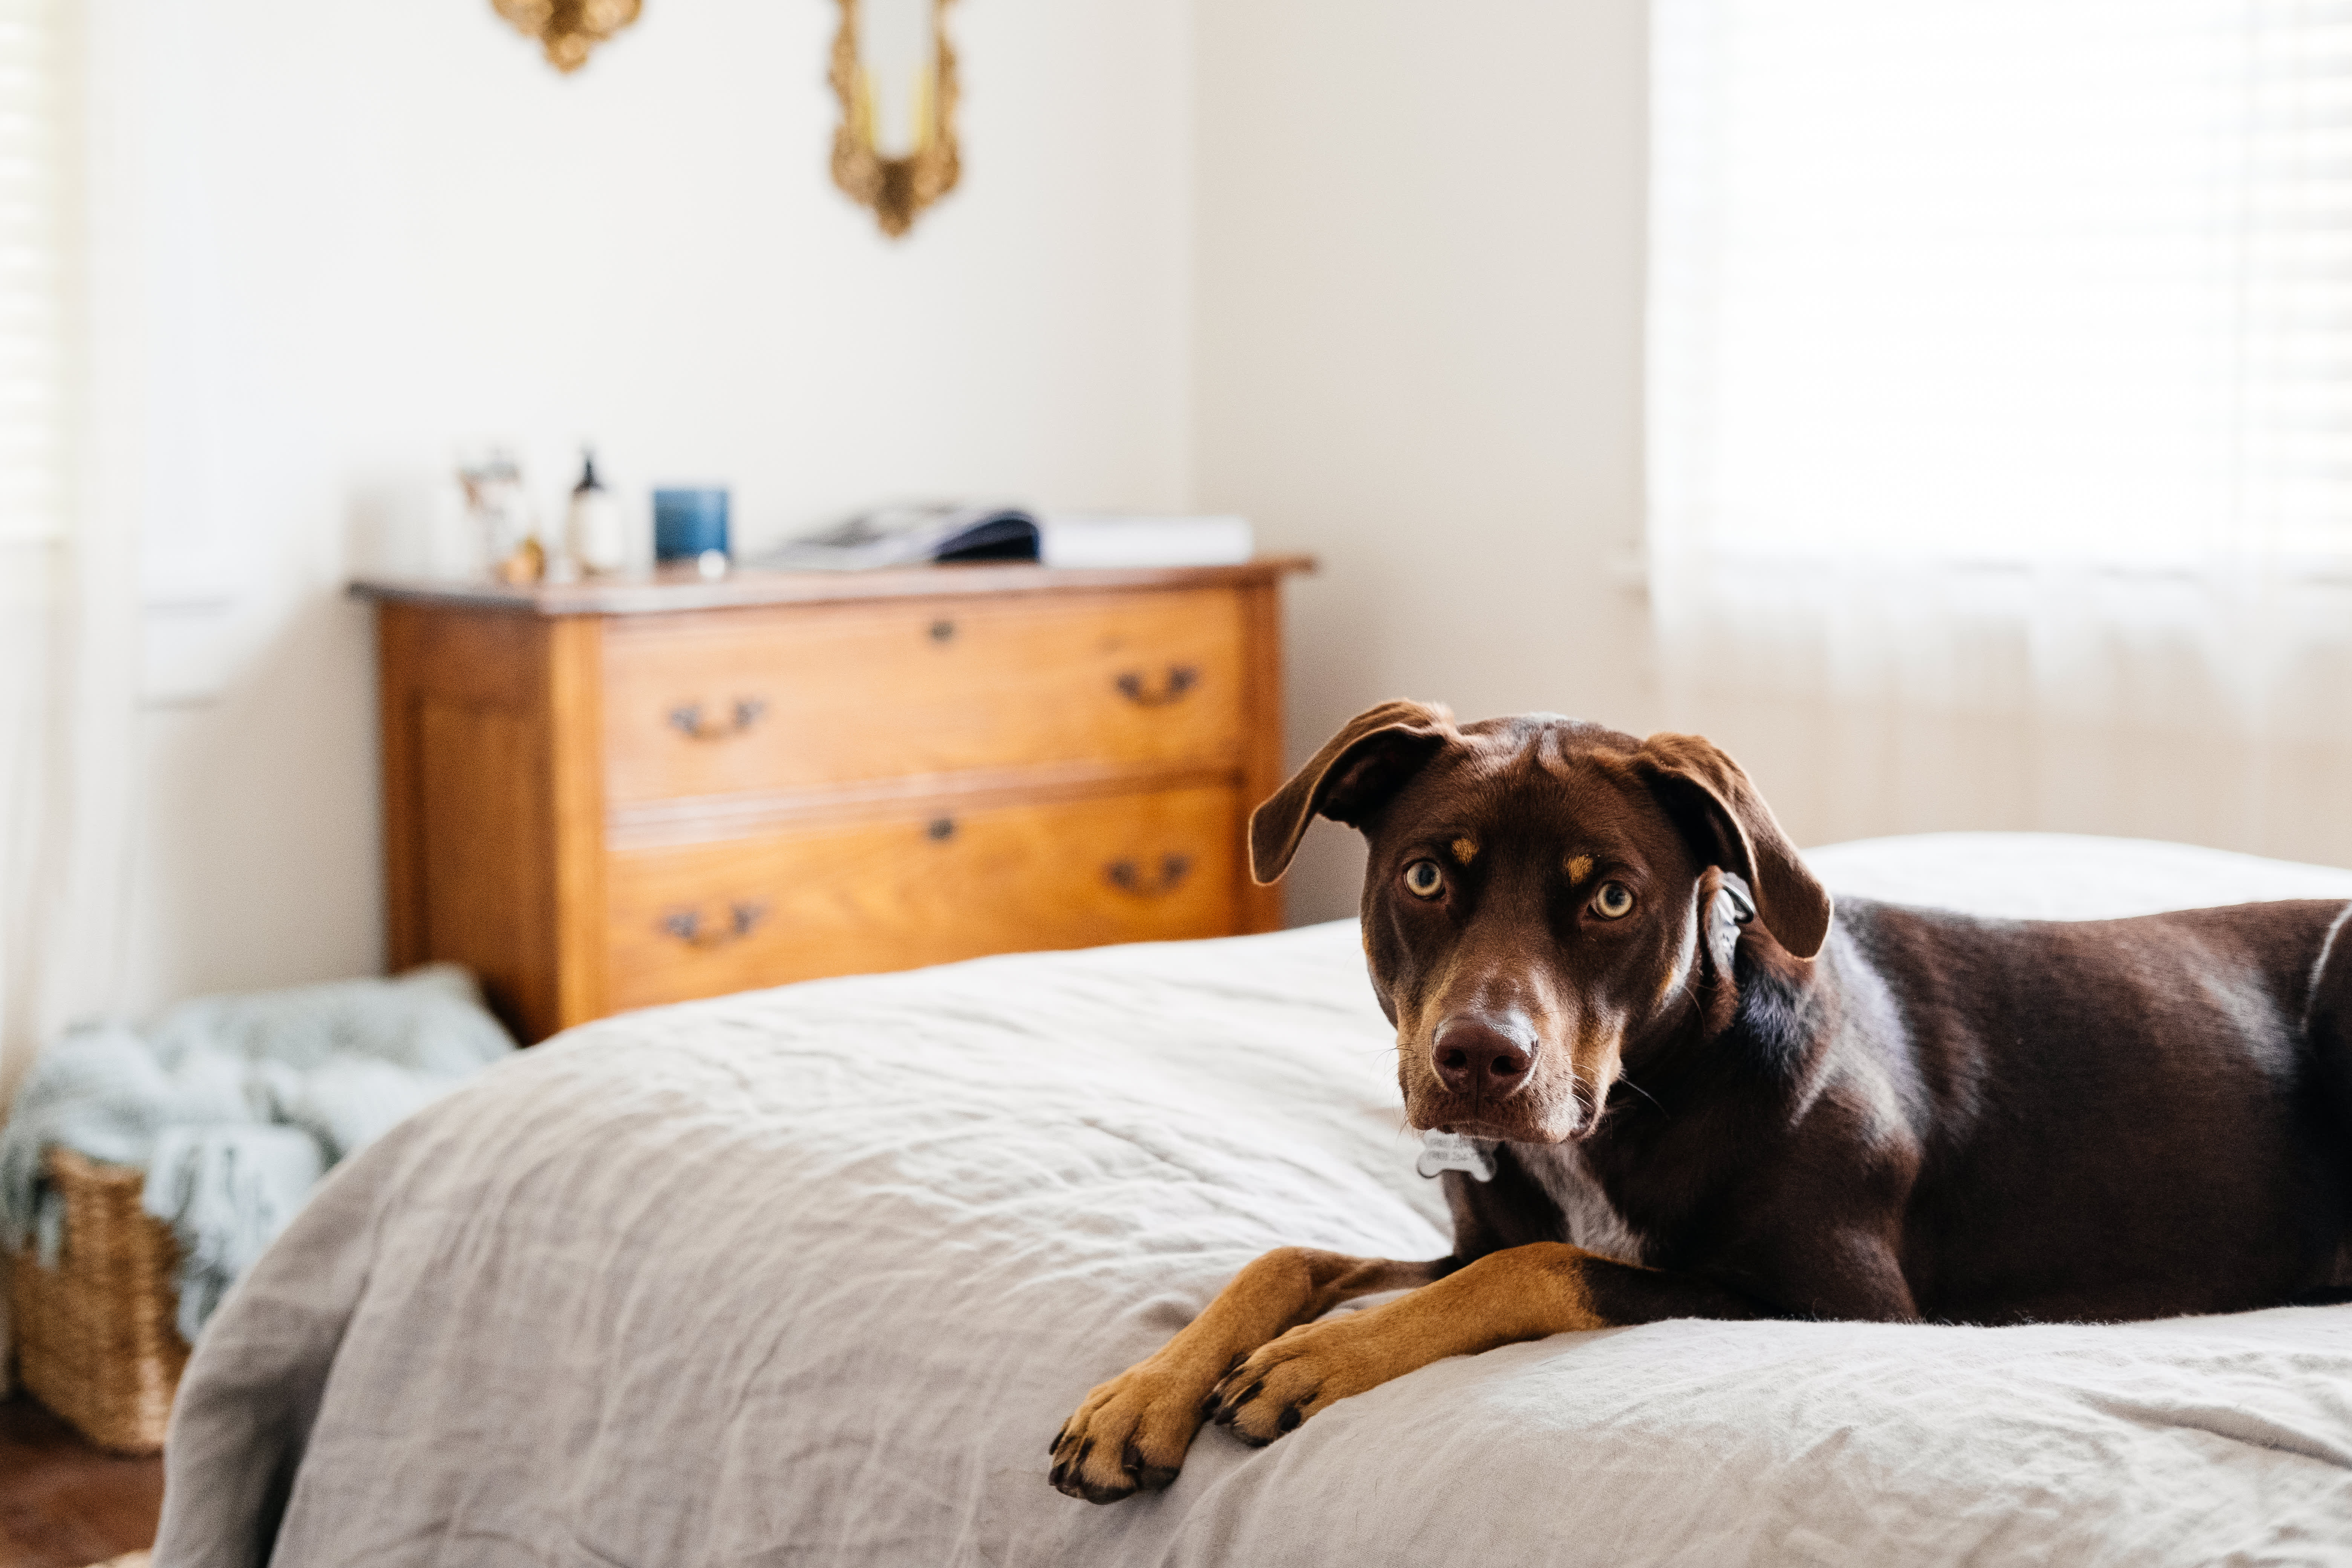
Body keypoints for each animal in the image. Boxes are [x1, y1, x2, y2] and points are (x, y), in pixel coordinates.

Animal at [1049, 700, 2352, 1504]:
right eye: (1424, 877)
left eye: (1612, 898)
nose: (1479, 1060)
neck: (1643, 1098)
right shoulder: (1481, 1228)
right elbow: (1294, 1258)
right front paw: (1145, 1393)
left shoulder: (1848, 1304)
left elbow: (1536, 1270)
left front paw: (1326, 1356)